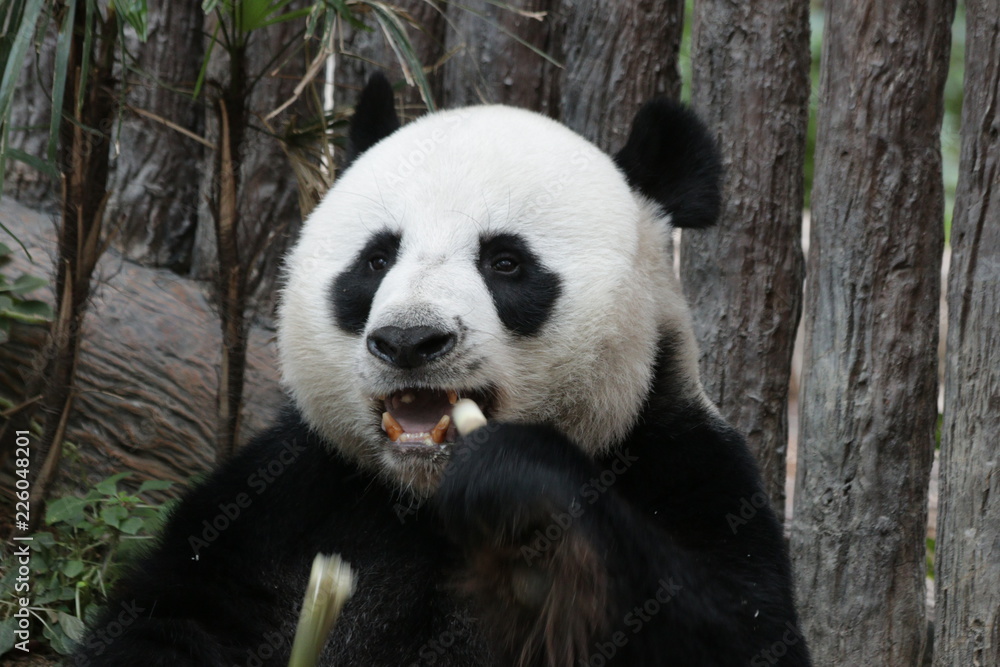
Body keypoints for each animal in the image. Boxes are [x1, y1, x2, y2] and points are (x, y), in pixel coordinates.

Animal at [75, 74, 810, 667]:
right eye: (376, 259)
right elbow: (172, 617)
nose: (408, 339)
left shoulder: (687, 465)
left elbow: (742, 630)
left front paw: (515, 480)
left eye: (506, 262)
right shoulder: (291, 496)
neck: (424, 502)